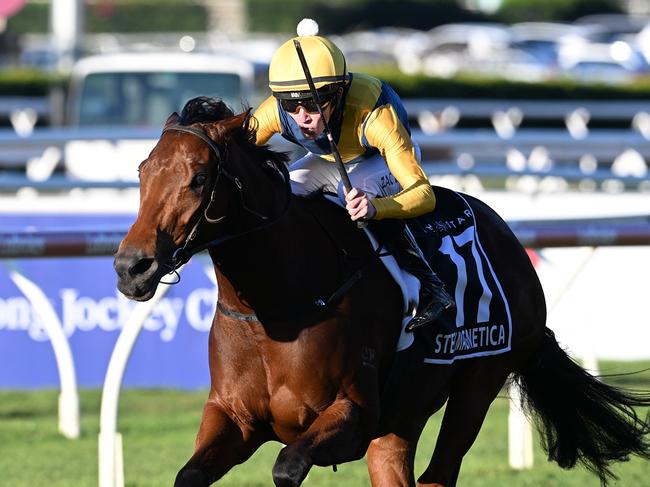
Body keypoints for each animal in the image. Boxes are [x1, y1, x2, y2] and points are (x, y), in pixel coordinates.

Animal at [114, 97, 644, 486]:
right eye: (142, 172)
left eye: (199, 178)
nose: (130, 267)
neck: (277, 309)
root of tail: (508, 237)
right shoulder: (233, 418)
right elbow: (188, 475)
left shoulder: (353, 416)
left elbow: (286, 466)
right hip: (405, 414)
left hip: (479, 382)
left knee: (439, 473)